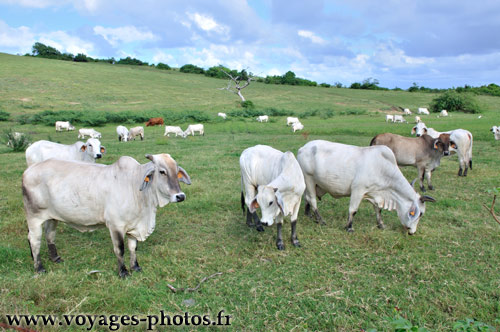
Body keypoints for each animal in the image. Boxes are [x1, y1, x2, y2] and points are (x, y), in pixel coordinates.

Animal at [21, 154, 191, 278]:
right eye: (162, 171)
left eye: (177, 171)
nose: (180, 196)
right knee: (34, 240)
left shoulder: (133, 225)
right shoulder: (116, 225)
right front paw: (123, 272)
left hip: (52, 217)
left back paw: (55, 258)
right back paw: (39, 267)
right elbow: (120, 249)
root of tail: (28, 170)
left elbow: (133, 247)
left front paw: (135, 266)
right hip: (34, 217)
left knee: (50, 235)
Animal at [296, 139, 434, 233]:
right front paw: (349, 227)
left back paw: (309, 214)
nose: (412, 232)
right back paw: (320, 220)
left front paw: (381, 225)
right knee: (312, 200)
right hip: (308, 179)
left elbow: (378, 210)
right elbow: (353, 210)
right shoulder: (358, 190)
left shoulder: (375, 193)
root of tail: (303, 148)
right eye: (420, 213)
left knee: (307, 198)